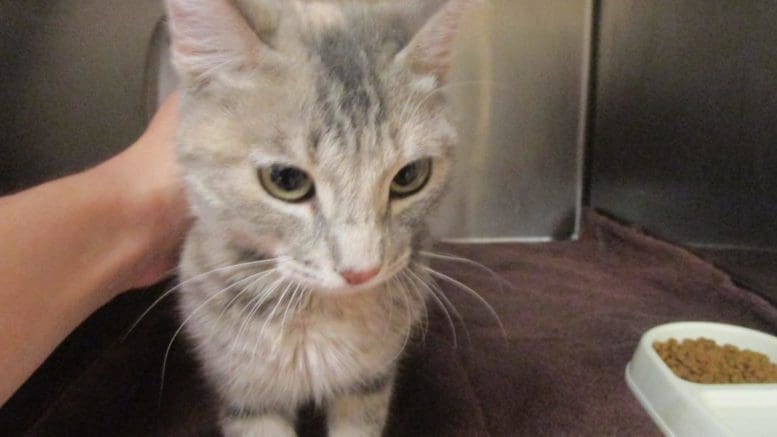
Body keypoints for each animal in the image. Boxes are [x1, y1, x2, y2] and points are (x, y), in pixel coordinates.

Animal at [167, 0, 476, 434]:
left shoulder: (369, 382)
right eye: (286, 180)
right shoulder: (246, 395)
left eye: (410, 176)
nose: (361, 271)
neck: (322, 313)